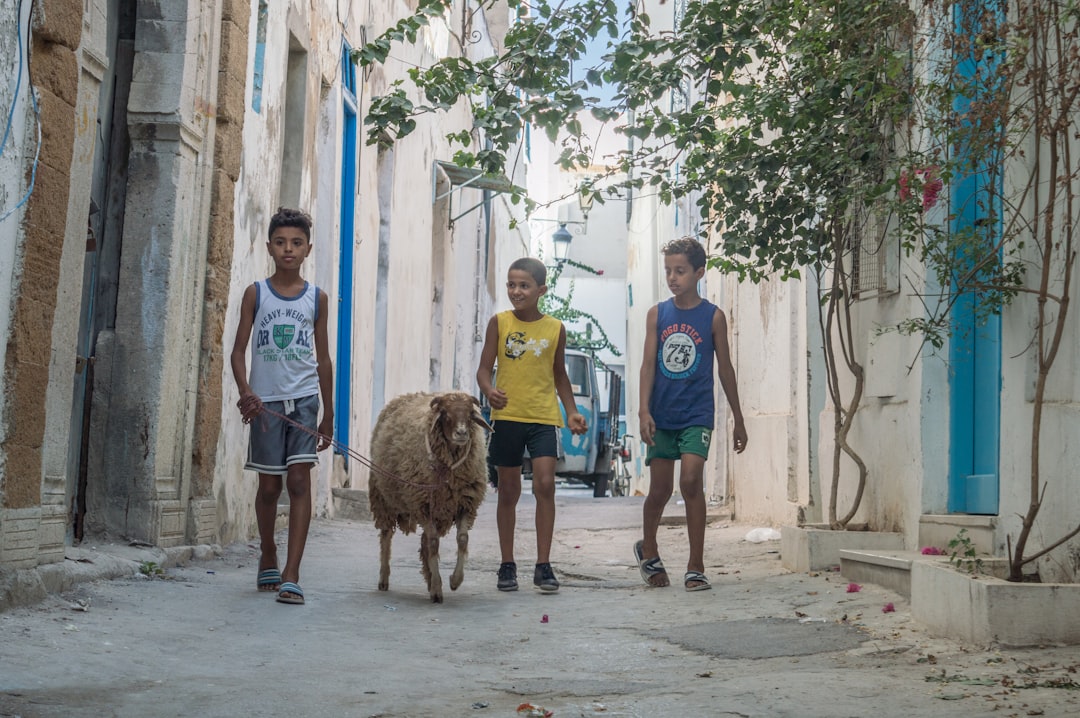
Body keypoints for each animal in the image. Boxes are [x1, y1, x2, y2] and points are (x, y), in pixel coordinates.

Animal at [369, 393, 492, 600]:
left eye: (470, 414)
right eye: (445, 414)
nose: (461, 433)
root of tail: (406, 396)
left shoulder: (464, 504)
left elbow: (462, 539)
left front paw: (454, 580)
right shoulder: (422, 504)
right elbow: (434, 544)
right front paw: (437, 589)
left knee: (424, 541)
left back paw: (428, 576)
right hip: (384, 499)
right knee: (386, 536)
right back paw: (384, 578)